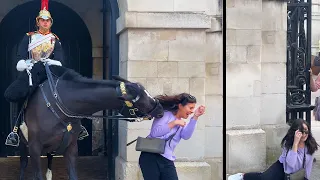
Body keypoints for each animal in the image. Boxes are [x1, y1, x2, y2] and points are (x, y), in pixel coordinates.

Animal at [14, 64, 165, 179]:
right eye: (141, 100)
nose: (161, 109)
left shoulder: (71, 148)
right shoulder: (34, 148)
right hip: (24, 146)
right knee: (23, 165)